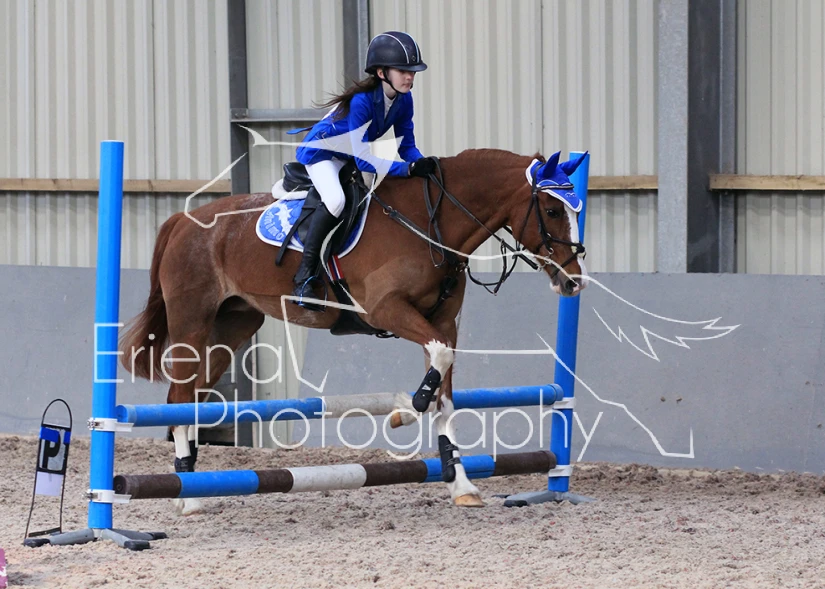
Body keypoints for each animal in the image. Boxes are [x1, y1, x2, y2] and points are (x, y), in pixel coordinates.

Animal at [119, 148, 588, 514]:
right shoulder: (386, 310)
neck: (431, 223)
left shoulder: (442, 323)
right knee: (180, 397)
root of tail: (183, 220)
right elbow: (435, 369)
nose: (574, 282)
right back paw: (190, 496)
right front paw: (403, 409)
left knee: (189, 397)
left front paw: (462, 485)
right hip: (192, 320)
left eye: (575, 210)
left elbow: (445, 392)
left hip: (233, 324)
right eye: (550, 210)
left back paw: (189, 484)